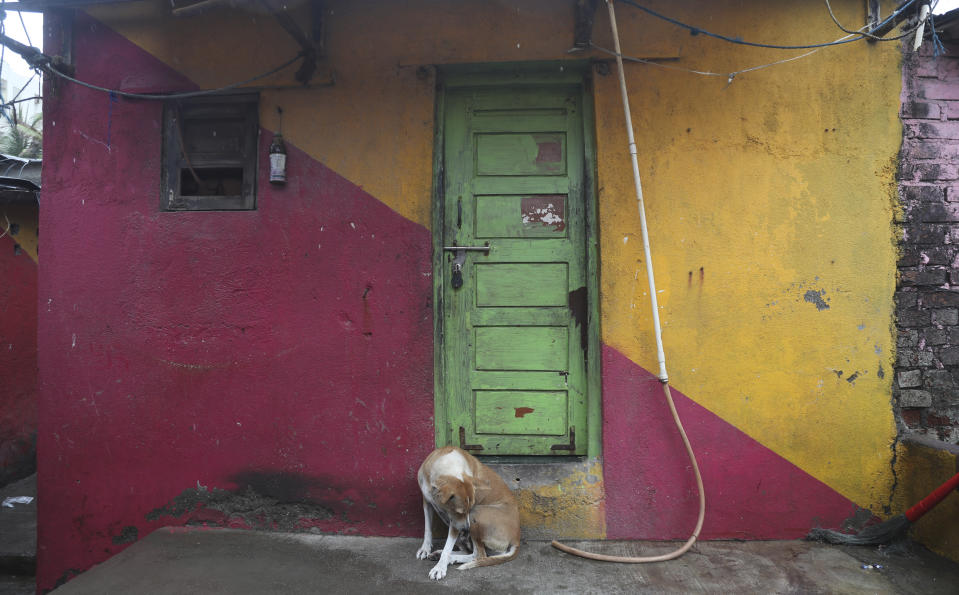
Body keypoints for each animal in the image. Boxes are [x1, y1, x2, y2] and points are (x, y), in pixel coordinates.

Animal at [416, 448, 520, 584]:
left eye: (468, 510)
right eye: (460, 512)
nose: (466, 529)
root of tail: (516, 538)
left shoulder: (456, 522)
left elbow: (448, 546)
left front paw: (440, 567)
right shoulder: (427, 502)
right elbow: (427, 528)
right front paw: (425, 548)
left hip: (477, 514)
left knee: (479, 555)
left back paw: (450, 558)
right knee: (470, 551)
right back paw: (442, 554)